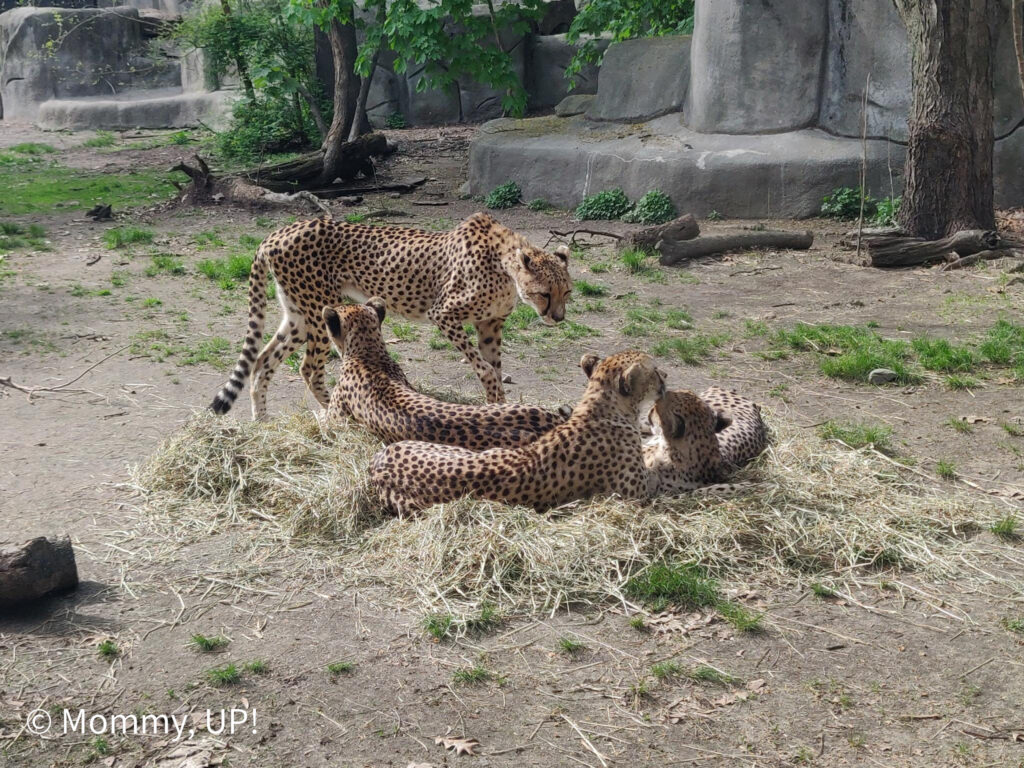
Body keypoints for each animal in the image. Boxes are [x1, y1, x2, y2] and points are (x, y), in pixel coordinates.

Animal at [210, 211, 573, 421]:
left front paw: (499, 405)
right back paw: (329, 411)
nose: (558, 318)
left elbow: (494, 367)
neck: (505, 265)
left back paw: (262, 422)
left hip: (299, 315)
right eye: (544, 293)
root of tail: (278, 232)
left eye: (567, 292)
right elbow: (484, 368)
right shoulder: (443, 313)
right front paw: (495, 399)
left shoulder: (490, 324)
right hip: (319, 312)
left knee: (262, 360)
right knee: (308, 368)